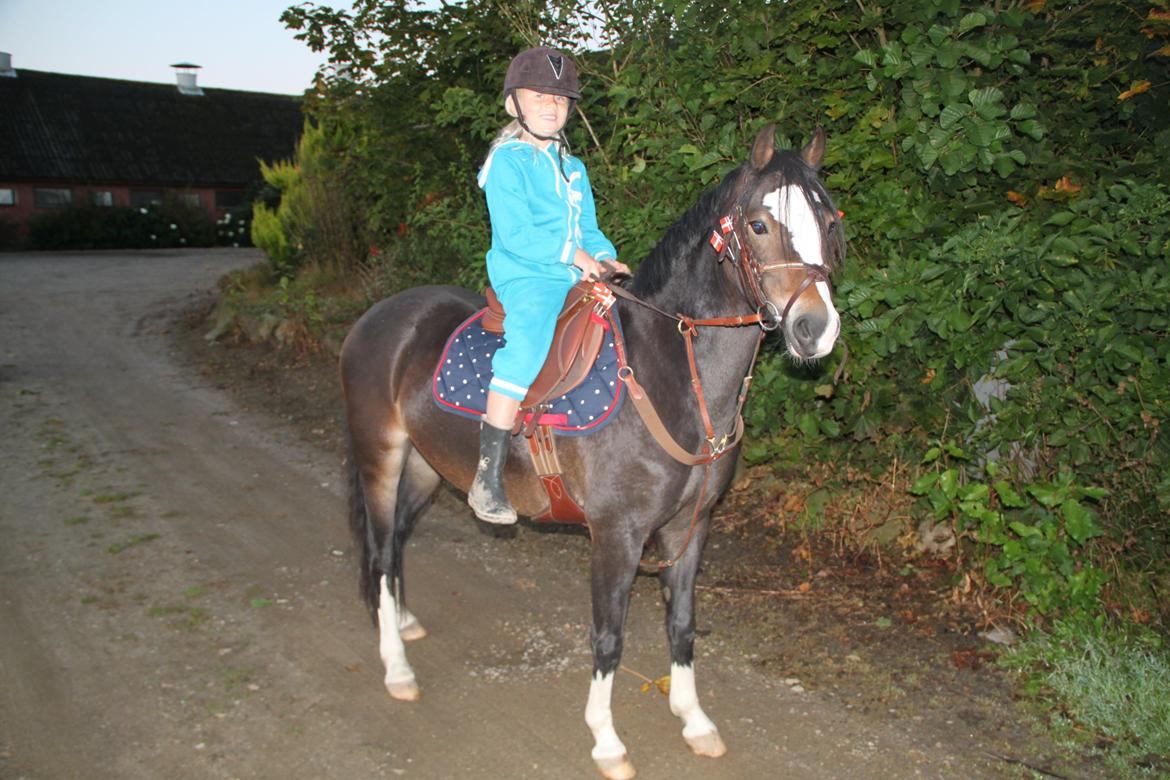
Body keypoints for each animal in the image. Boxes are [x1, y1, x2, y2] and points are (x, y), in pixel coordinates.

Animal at [339, 124, 845, 779]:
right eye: (759, 224)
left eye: (828, 221)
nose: (816, 328)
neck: (670, 374)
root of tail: (379, 316)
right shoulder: (617, 534)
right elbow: (609, 636)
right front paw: (606, 740)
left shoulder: (690, 527)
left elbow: (683, 624)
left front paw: (694, 720)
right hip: (380, 455)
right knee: (378, 552)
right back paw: (397, 666)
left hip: (430, 466)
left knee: (399, 539)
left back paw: (401, 620)